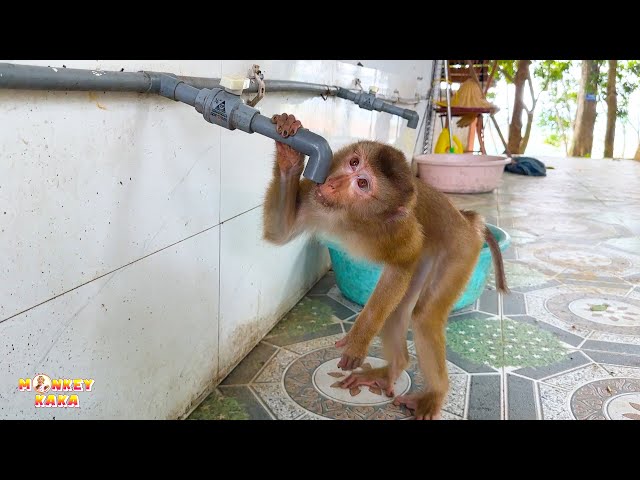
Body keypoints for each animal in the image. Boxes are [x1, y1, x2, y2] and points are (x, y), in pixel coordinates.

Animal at [262, 113, 508, 420]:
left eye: (362, 184)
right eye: (354, 162)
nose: (332, 183)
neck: (347, 218)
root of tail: (467, 219)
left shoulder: (400, 229)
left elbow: (401, 265)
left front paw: (358, 340)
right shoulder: (314, 199)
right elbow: (279, 233)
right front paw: (290, 152)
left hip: (460, 251)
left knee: (424, 317)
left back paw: (435, 394)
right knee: (397, 313)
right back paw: (391, 370)